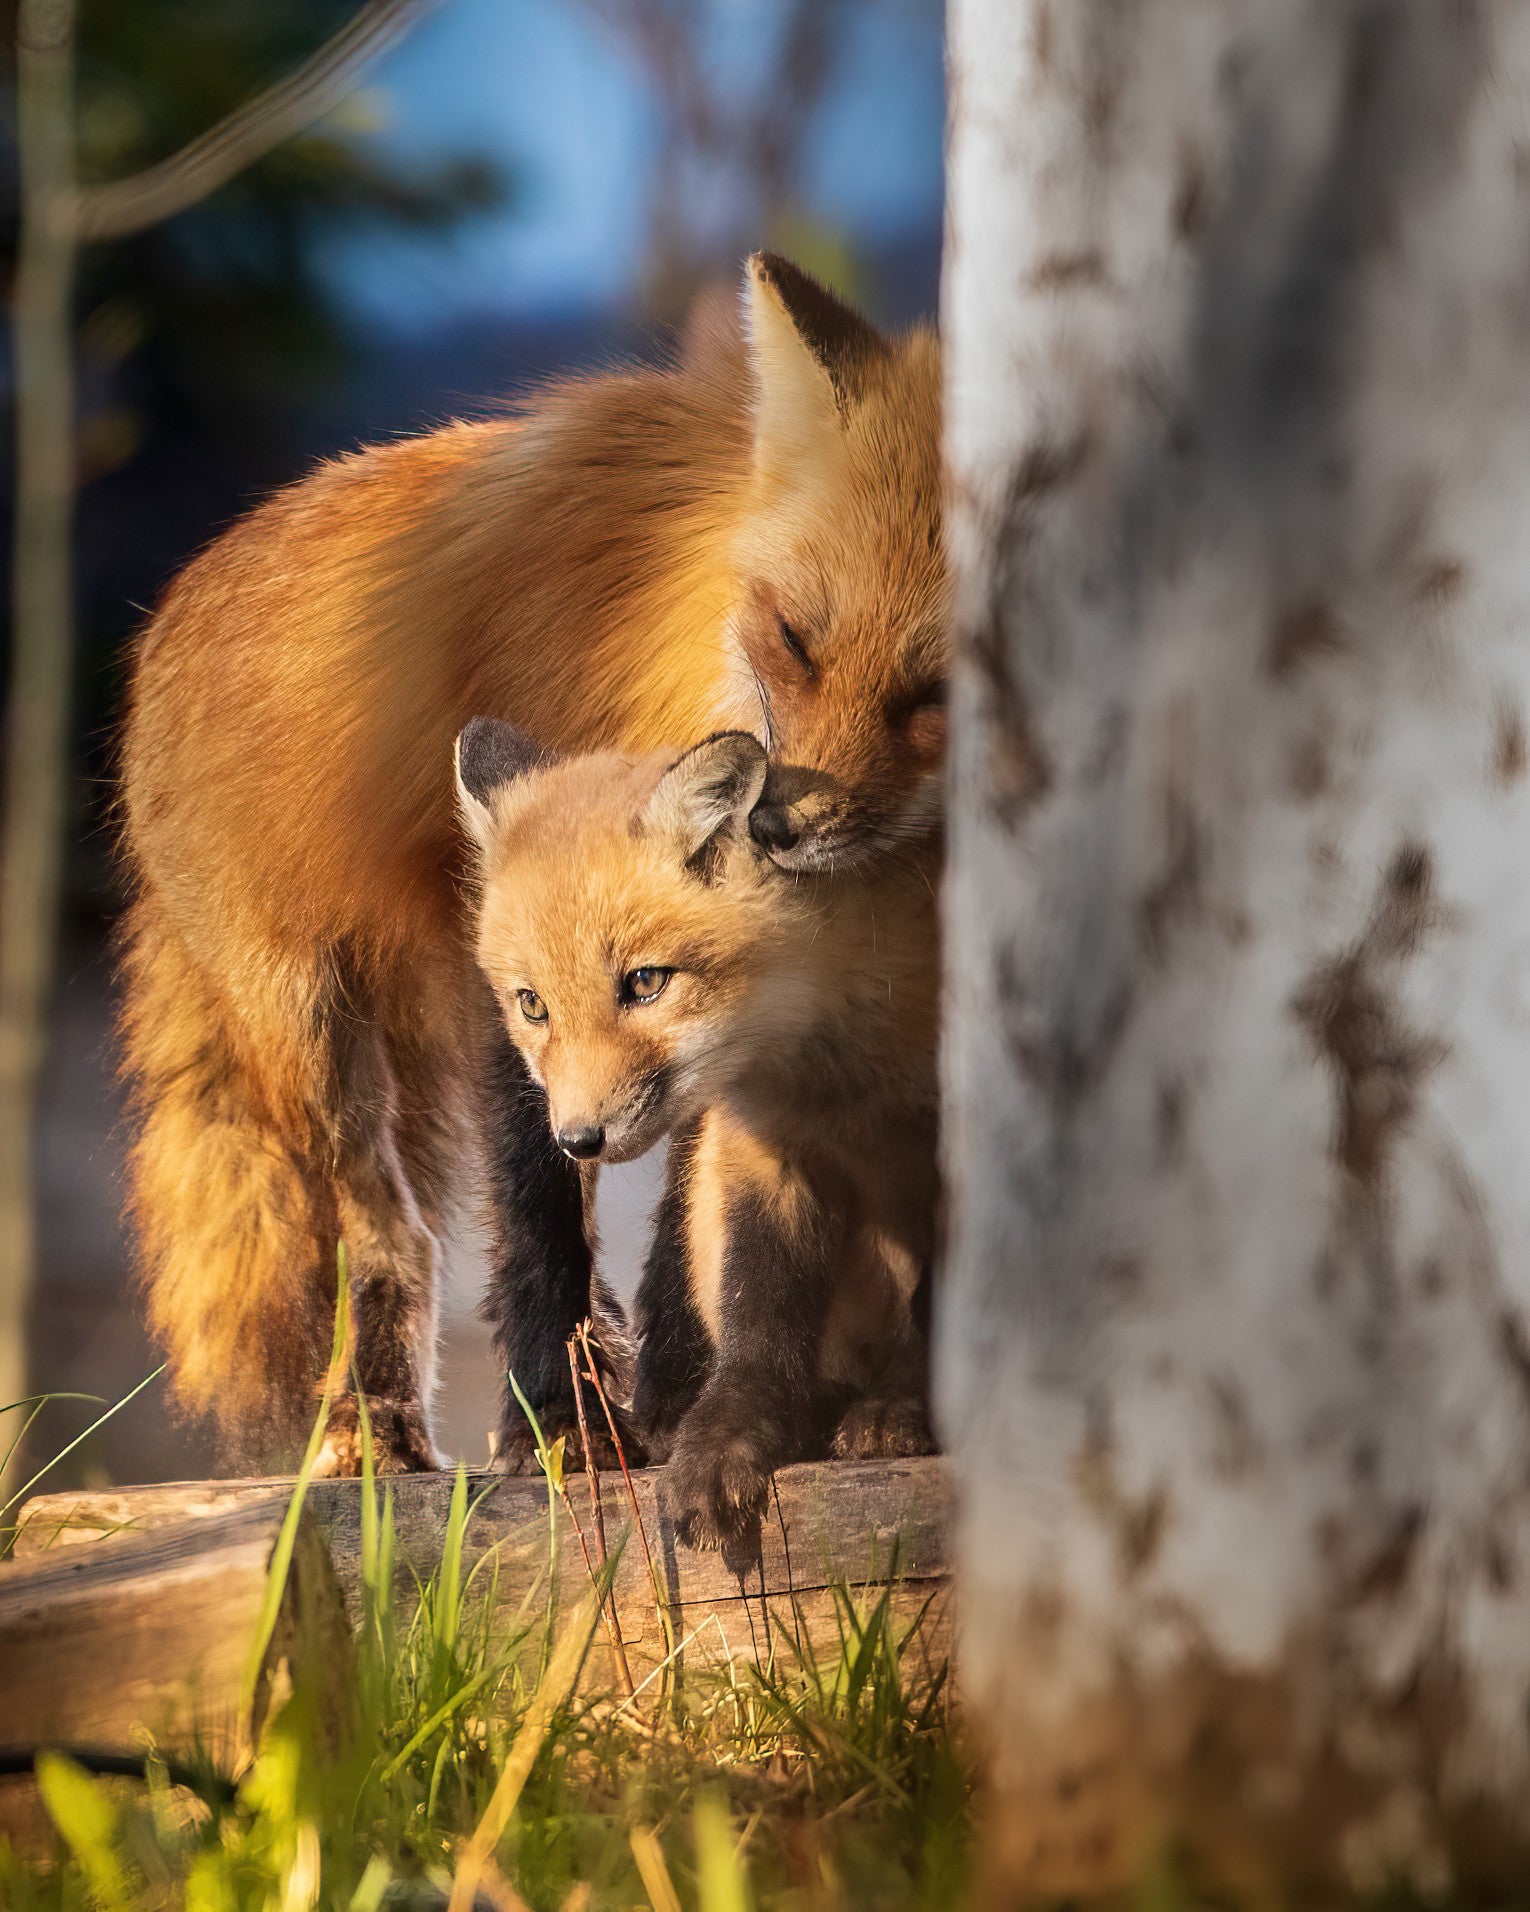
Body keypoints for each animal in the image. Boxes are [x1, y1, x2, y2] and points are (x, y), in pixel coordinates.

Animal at [447, 722, 937, 1544]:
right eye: (532, 1005)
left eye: (645, 982)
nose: (576, 1140)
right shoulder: (760, 1149)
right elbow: (757, 1315)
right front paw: (726, 1442)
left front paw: (908, 1408)